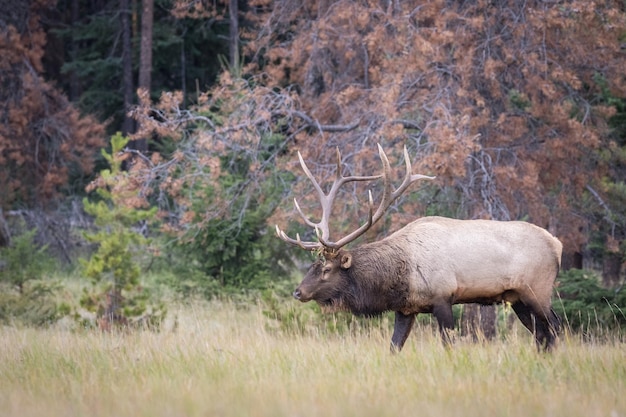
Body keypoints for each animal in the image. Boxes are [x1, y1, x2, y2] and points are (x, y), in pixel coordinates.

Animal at [272, 144, 560, 352]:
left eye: (327, 269)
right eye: (312, 265)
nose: (298, 292)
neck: (399, 276)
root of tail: (557, 245)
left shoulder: (443, 297)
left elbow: (448, 345)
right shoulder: (405, 309)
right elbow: (394, 347)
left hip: (538, 290)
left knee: (554, 328)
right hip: (517, 298)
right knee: (541, 334)